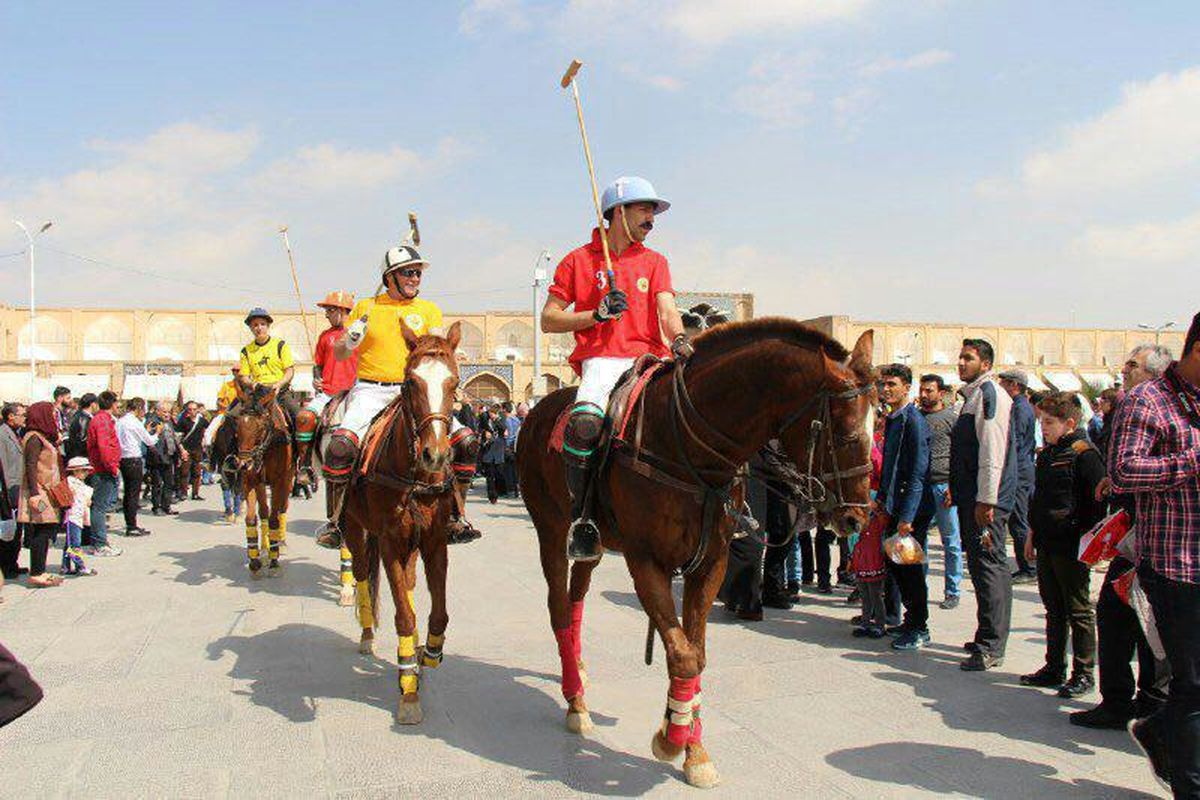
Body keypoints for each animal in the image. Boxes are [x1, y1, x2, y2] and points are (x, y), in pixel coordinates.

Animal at [231, 386, 295, 578]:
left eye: (260, 427)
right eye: (238, 424)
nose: (244, 464)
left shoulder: (279, 482)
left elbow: (274, 518)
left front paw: (274, 562)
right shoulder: (251, 481)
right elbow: (252, 519)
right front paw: (255, 560)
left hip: (288, 480)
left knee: (282, 509)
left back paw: (280, 543)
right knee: (264, 512)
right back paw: (265, 549)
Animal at [343, 319, 463, 724]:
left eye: (455, 381)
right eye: (411, 382)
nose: (435, 455)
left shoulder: (434, 540)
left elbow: (437, 613)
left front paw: (427, 656)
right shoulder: (390, 540)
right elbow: (404, 616)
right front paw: (408, 695)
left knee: (407, 585)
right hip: (355, 527)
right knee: (362, 575)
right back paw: (367, 635)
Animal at [516, 316, 873, 786]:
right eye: (847, 434)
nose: (857, 519)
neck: (687, 447)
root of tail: (539, 410)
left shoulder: (710, 562)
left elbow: (697, 653)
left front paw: (693, 746)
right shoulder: (646, 560)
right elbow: (683, 655)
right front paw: (671, 739)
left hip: (593, 539)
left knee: (577, 598)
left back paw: (578, 670)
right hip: (550, 526)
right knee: (558, 603)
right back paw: (575, 702)